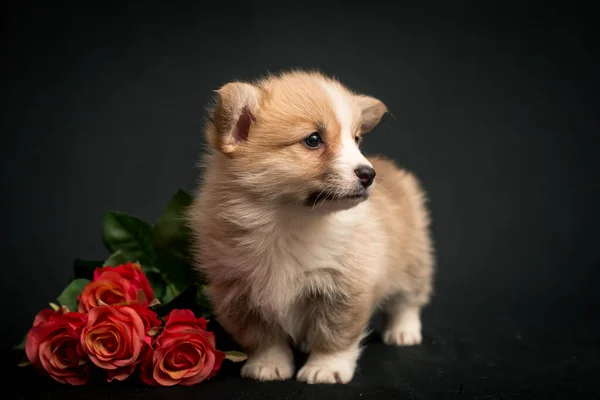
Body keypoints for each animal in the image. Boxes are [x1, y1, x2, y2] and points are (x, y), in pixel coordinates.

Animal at [185, 71, 434, 384]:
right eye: (313, 140)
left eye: (356, 139)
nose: (369, 174)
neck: (289, 221)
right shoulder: (239, 293)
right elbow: (263, 338)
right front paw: (268, 366)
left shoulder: (344, 288)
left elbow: (334, 335)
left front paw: (325, 369)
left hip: (414, 258)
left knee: (407, 300)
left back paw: (403, 332)